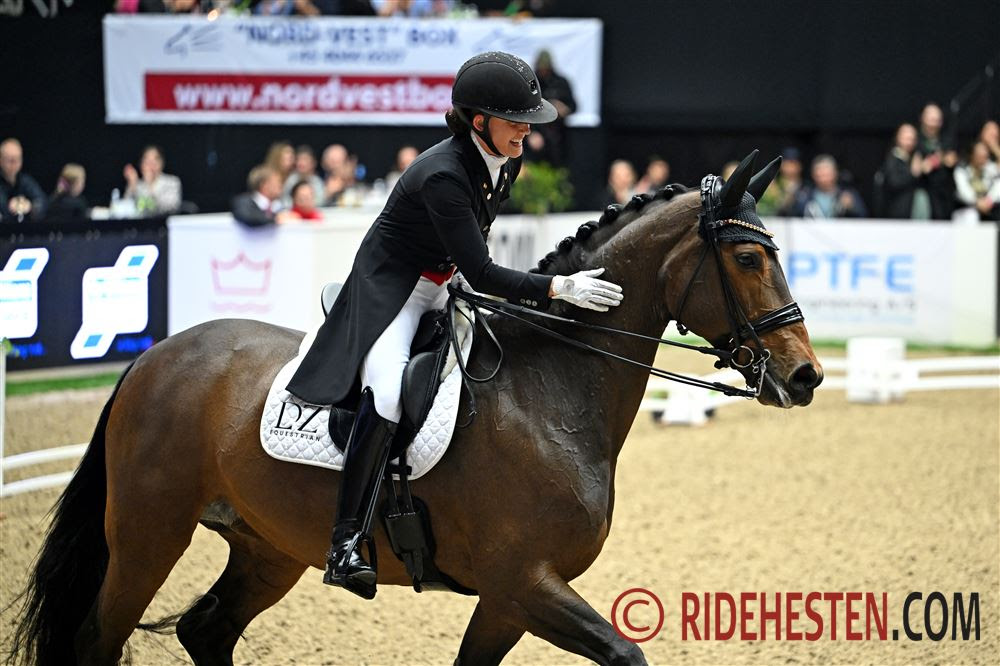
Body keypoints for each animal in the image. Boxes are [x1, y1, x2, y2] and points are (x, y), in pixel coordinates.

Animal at [5, 153, 820, 660]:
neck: (551, 391)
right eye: (749, 257)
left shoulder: (508, 598)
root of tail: (154, 357)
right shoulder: (524, 582)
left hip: (269, 548)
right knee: (98, 640)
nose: (806, 375)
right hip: (149, 535)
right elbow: (627, 653)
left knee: (207, 632)